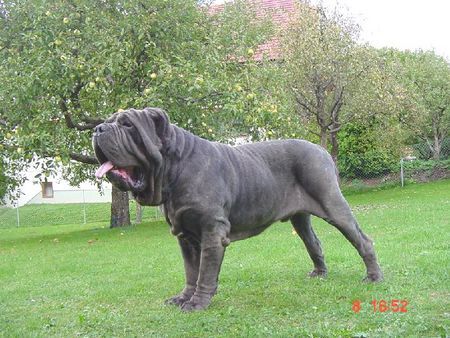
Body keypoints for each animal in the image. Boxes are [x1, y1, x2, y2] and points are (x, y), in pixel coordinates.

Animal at [93, 108, 382, 312]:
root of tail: (321, 149)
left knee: (363, 240)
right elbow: (191, 271)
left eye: (128, 125)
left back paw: (373, 277)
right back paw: (320, 274)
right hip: (300, 219)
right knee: (314, 243)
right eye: (109, 121)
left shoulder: (212, 231)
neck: (175, 168)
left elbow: (204, 272)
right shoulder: (185, 236)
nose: (97, 129)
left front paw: (197, 303)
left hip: (333, 204)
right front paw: (183, 298)